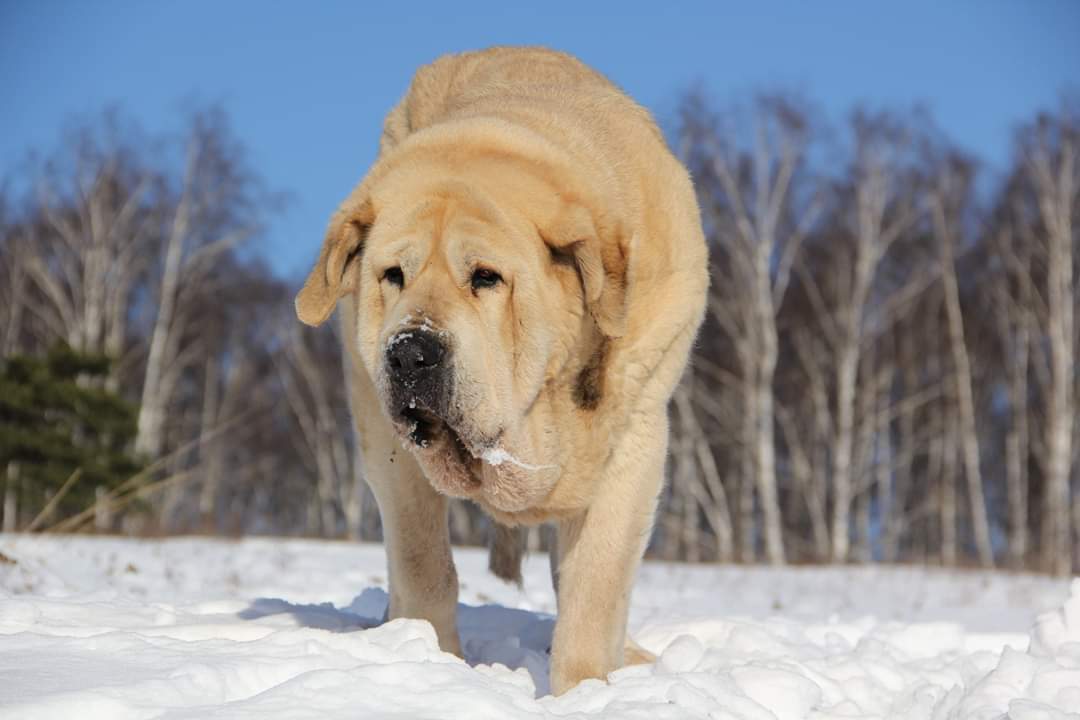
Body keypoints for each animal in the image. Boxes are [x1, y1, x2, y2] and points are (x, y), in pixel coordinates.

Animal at [295, 46, 708, 699]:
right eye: (393, 275)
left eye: (486, 277)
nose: (410, 352)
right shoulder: (390, 448)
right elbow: (424, 564)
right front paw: (429, 662)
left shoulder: (636, 440)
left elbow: (595, 581)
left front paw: (585, 690)